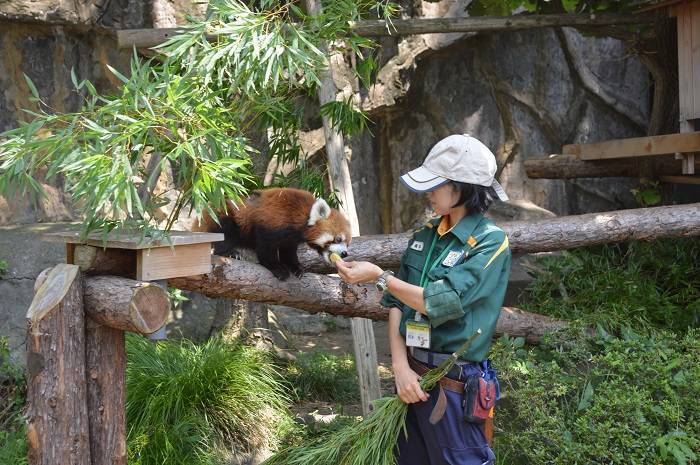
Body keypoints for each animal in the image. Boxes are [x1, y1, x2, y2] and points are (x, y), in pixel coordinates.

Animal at [193, 186, 350, 280]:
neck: (300, 216)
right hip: (222, 216)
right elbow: (265, 249)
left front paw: (296, 267)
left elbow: (288, 252)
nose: (344, 254)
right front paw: (277, 268)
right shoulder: (272, 222)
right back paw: (230, 253)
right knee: (225, 234)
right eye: (338, 239)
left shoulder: (290, 240)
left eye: (347, 243)